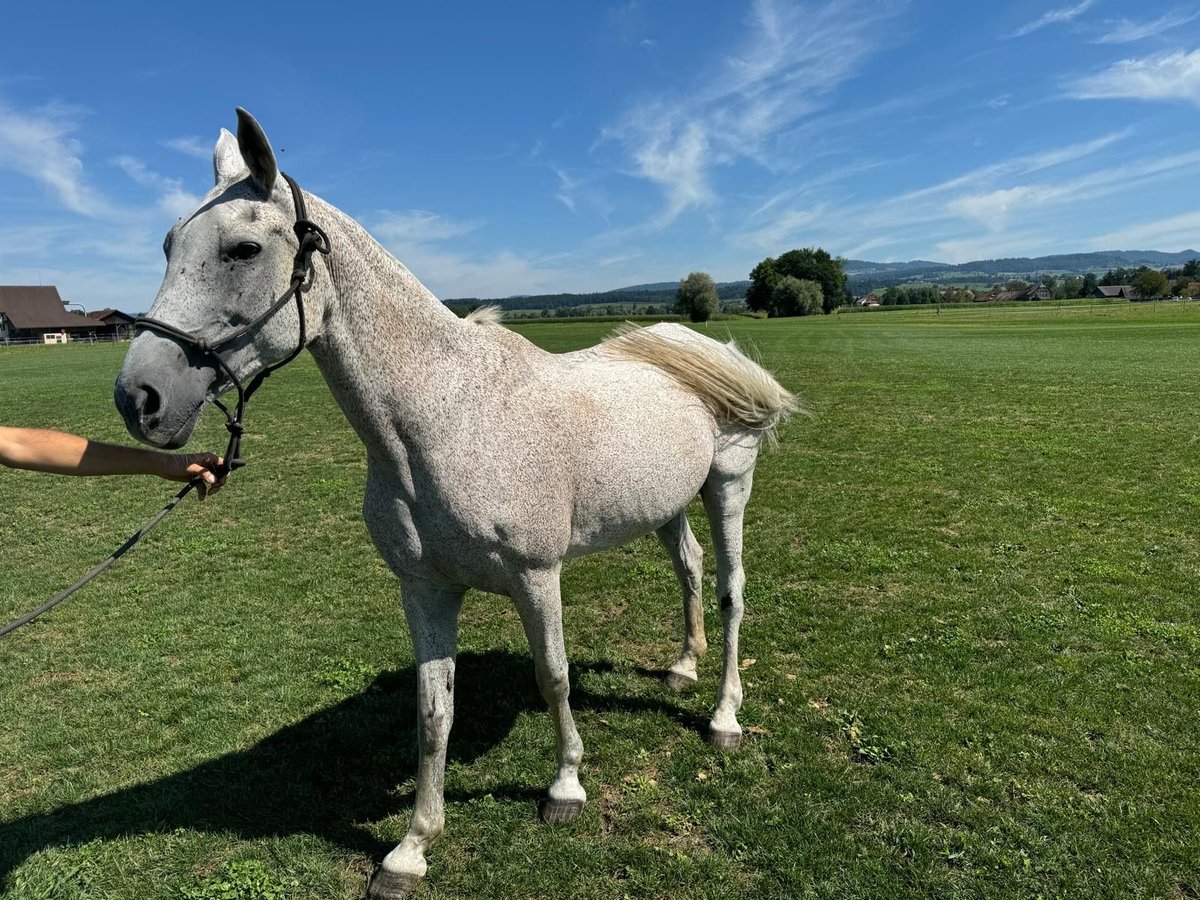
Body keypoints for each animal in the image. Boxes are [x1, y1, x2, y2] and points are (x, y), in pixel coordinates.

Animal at [112, 109, 796, 897]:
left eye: (243, 248)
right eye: (168, 246)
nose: (139, 398)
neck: (448, 415)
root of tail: (696, 343)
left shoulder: (536, 576)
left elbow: (553, 678)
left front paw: (565, 787)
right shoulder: (425, 588)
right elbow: (433, 711)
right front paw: (412, 848)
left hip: (728, 486)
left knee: (730, 591)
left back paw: (723, 717)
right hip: (666, 504)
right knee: (688, 568)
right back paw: (684, 666)